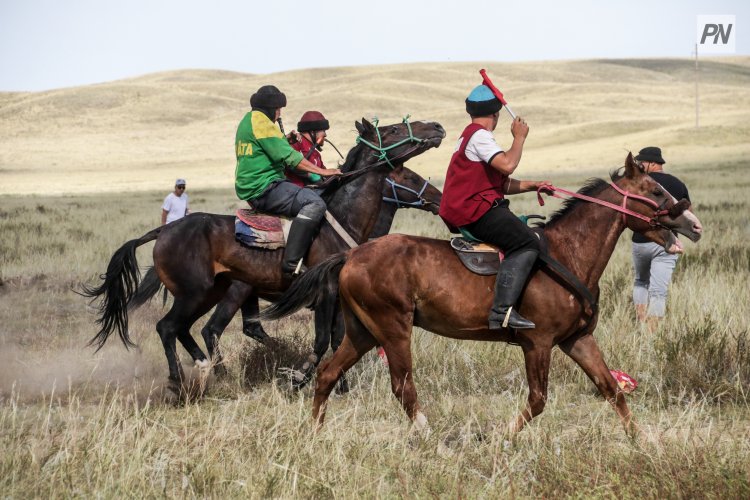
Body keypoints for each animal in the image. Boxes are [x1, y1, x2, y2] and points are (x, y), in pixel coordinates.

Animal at [82, 117, 446, 390]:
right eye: (395, 130)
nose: (437, 127)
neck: (343, 217)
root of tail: (165, 231)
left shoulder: (338, 297)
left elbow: (337, 338)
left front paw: (337, 384)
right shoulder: (325, 293)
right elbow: (322, 341)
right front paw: (300, 377)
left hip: (211, 292)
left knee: (189, 329)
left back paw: (209, 368)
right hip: (206, 293)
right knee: (176, 328)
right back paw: (184, 381)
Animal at [262, 155, 704, 434]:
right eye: (655, 190)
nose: (693, 223)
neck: (569, 255)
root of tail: (352, 254)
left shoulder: (577, 340)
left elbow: (611, 391)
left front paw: (641, 443)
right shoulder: (538, 343)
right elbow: (538, 400)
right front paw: (503, 438)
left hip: (362, 332)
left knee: (327, 375)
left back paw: (315, 434)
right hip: (392, 330)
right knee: (403, 389)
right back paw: (432, 439)